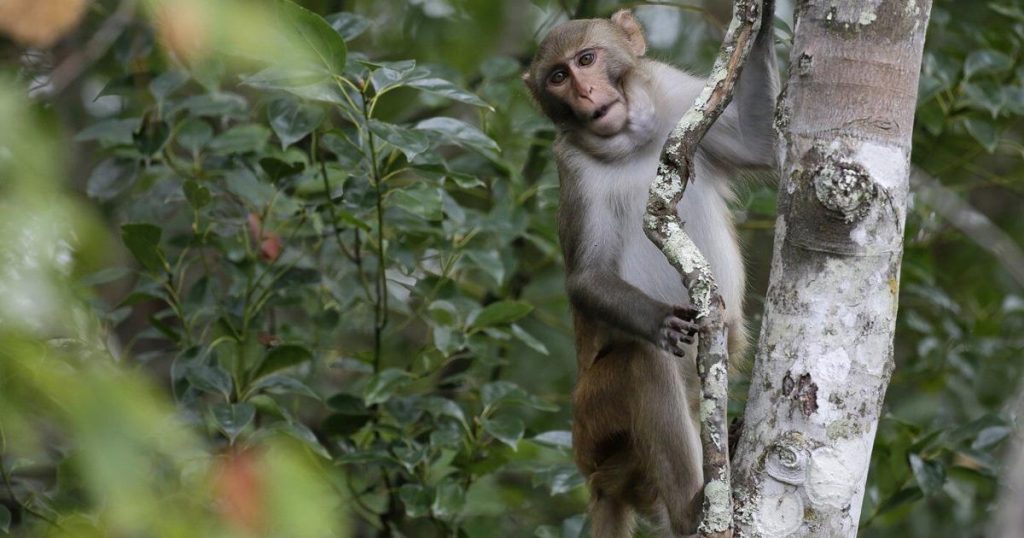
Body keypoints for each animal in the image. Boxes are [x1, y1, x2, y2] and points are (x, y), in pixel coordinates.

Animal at [523, 8, 777, 537]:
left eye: (586, 59)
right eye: (557, 77)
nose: (584, 93)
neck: (630, 142)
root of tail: (597, 477)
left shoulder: (675, 93)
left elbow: (757, 141)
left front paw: (764, 19)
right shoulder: (573, 168)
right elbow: (586, 278)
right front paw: (659, 319)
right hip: (595, 422)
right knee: (643, 362)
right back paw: (691, 509)